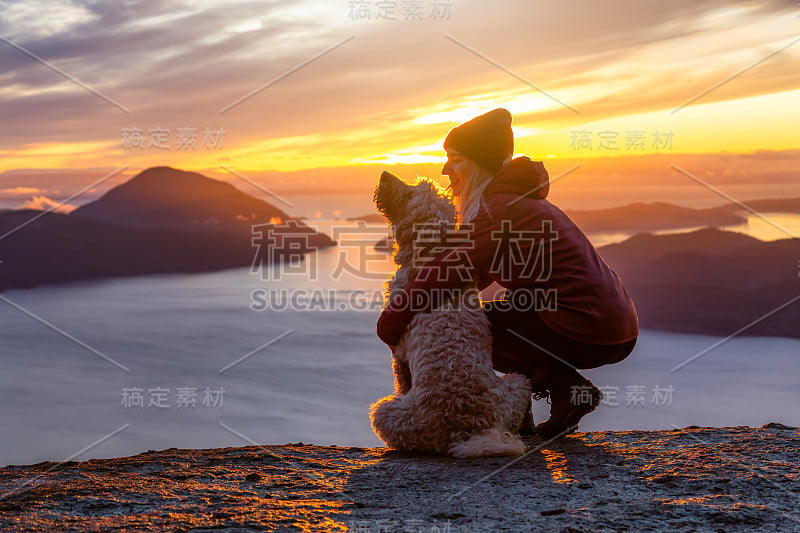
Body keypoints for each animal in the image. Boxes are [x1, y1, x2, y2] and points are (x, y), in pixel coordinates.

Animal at [372, 171, 536, 458]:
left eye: (409, 194)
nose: (384, 174)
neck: (432, 254)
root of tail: (470, 429)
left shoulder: (398, 349)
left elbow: (402, 381)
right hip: (518, 383)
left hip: (385, 412)